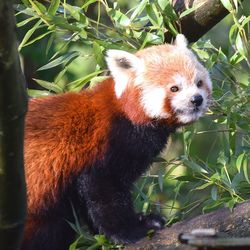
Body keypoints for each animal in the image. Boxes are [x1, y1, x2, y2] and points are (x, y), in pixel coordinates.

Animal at [22, 33, 212, 250]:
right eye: (174, 88)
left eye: (199, 83)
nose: (196, 99)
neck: (126, 113)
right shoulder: (103, 145)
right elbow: (104, 192)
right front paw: (132, 229)